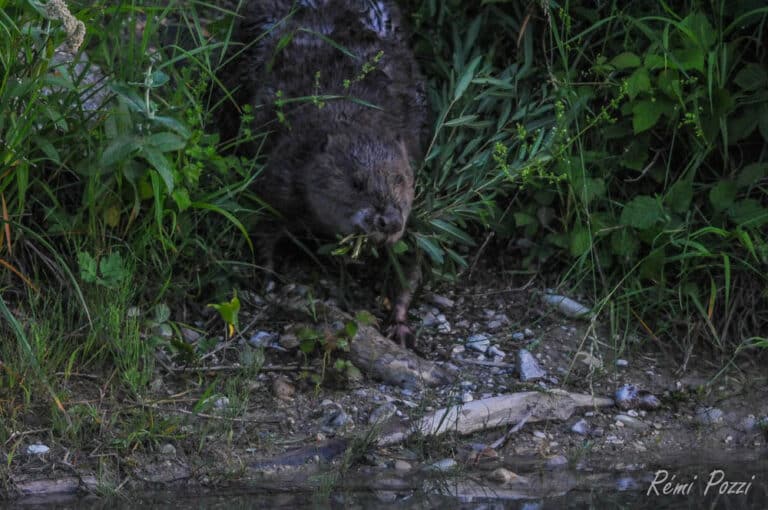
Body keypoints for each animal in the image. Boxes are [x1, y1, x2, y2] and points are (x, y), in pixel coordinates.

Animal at [216, 0, 428, 346]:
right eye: (356, 182)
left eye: (401, 179)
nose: (389, 221)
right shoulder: (281, 172)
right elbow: (259, 225)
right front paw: (269, 280)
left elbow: (411, 259)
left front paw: (400, 326)